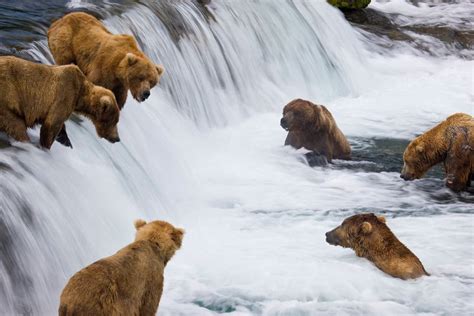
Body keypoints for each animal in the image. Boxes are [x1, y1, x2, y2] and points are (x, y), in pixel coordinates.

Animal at [46, 11, 165, 146]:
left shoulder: (119, 86)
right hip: (65, 42)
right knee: (65, 60)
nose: (146, 93)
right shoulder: (102, 68)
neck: (117, 70)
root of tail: (57, 21)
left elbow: (118, 101)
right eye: (141, 77)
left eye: (152, 82)